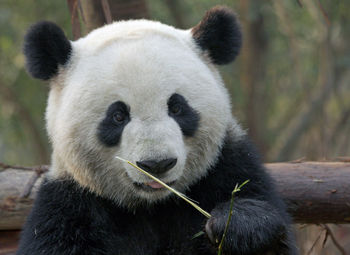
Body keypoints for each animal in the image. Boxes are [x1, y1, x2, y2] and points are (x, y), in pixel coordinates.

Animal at [17, 5, 298, 255]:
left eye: (177, 107)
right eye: (118, 116)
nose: (157, 164)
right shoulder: (70, 205)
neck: (153, 206)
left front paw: (237, 226)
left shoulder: (229, 169)